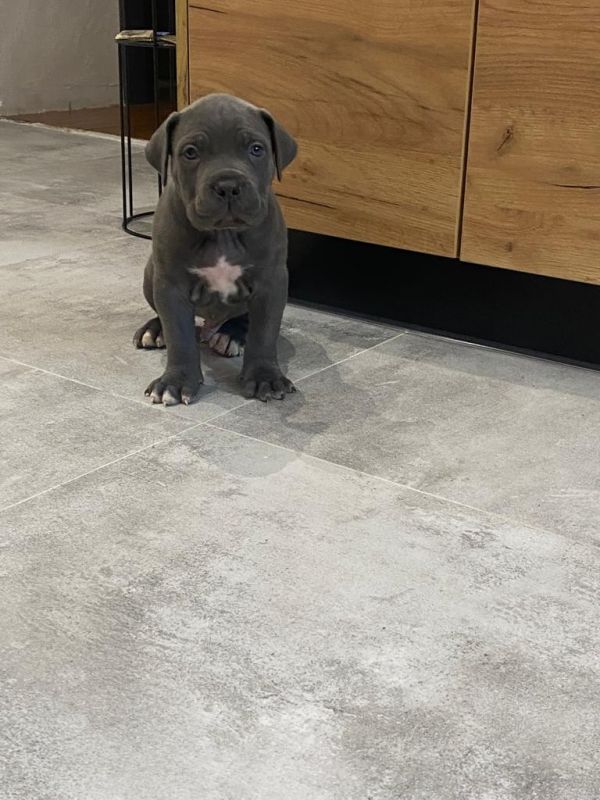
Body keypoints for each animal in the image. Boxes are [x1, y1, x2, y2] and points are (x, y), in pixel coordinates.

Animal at [133, 93, 298, 406]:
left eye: (256, 149)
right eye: (190, 152)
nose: (228, 185)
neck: (223, 234)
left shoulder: (271, 281)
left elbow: (264, 332)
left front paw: (265, 377)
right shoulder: (171, 284)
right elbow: (180, 335)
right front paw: (175, 382)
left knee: (244, 317)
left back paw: (232, 334)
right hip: (151, 273)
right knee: (162, 314)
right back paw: (153, 330)